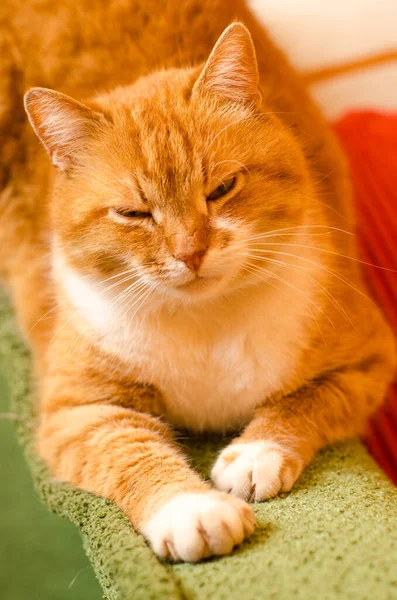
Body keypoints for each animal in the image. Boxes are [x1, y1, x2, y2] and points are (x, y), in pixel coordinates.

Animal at [0, 0, 394, 564]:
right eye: (134, 213)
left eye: (222, 188)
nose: (191, 252)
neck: (206, 321)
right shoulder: (77, 411)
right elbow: (128, 453)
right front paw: (192, 509)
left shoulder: (366, 362)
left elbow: (306, 400)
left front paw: (255, 452)